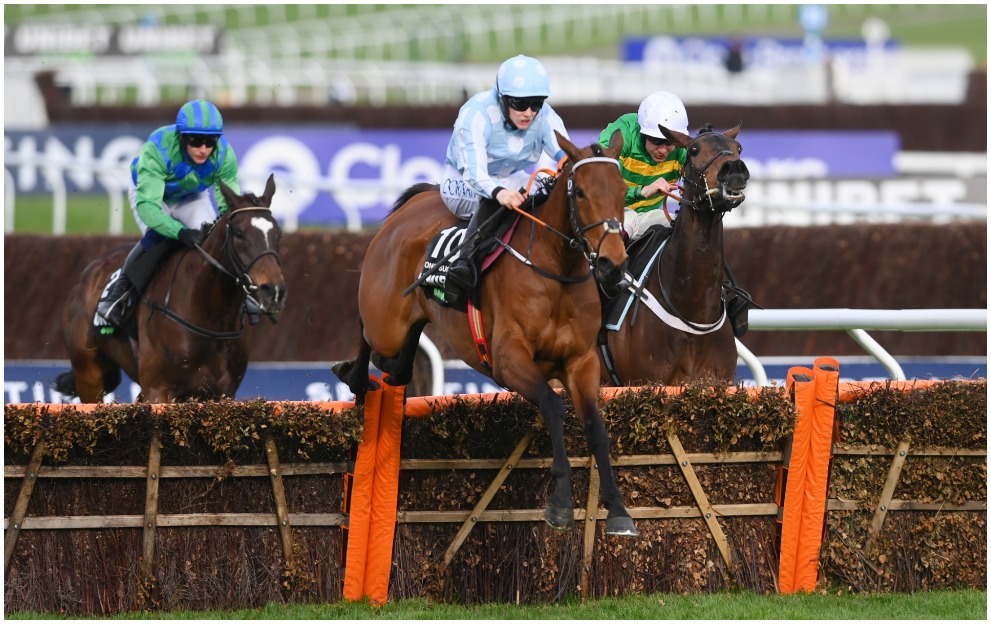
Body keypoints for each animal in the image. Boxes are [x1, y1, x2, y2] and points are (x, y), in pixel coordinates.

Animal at [55, 174, 286, 404]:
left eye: (278, 233)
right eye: (238, 233)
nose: (273, 290)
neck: (209, 315)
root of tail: (89, 272)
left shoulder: (222, 392)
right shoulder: (158, 389)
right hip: (88, 374)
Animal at [334, 132, 640, 536]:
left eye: (622, 189)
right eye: (582, 192)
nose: (611, 265)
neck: (556, 271)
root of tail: (412, 205)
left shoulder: (582, 362)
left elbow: (596, 428)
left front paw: (619, 511)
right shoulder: (509, 360)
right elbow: (552, 404)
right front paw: (559, 504)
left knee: (398, 360)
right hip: (386, 318)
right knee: (367, 330)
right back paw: (353, 377)